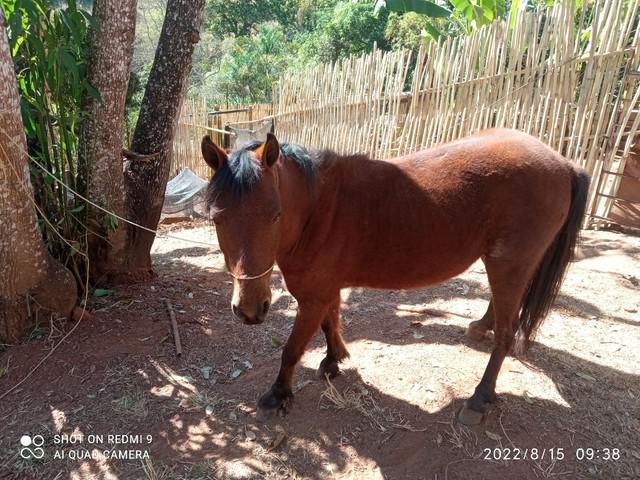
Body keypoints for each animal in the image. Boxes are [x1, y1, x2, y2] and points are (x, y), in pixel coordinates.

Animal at [202, 127, 588, 424]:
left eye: (275, 215)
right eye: (216, 218)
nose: (250, 310)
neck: (318, 210)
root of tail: (565, 163)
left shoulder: (313, 297)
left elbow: (292, 349)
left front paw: (278, 394)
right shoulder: (327, 291)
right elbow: (331, 323)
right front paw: (333, 360)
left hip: (510, 264)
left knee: (507, 335)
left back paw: (479, 398)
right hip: (503, 264)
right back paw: (480, 328)